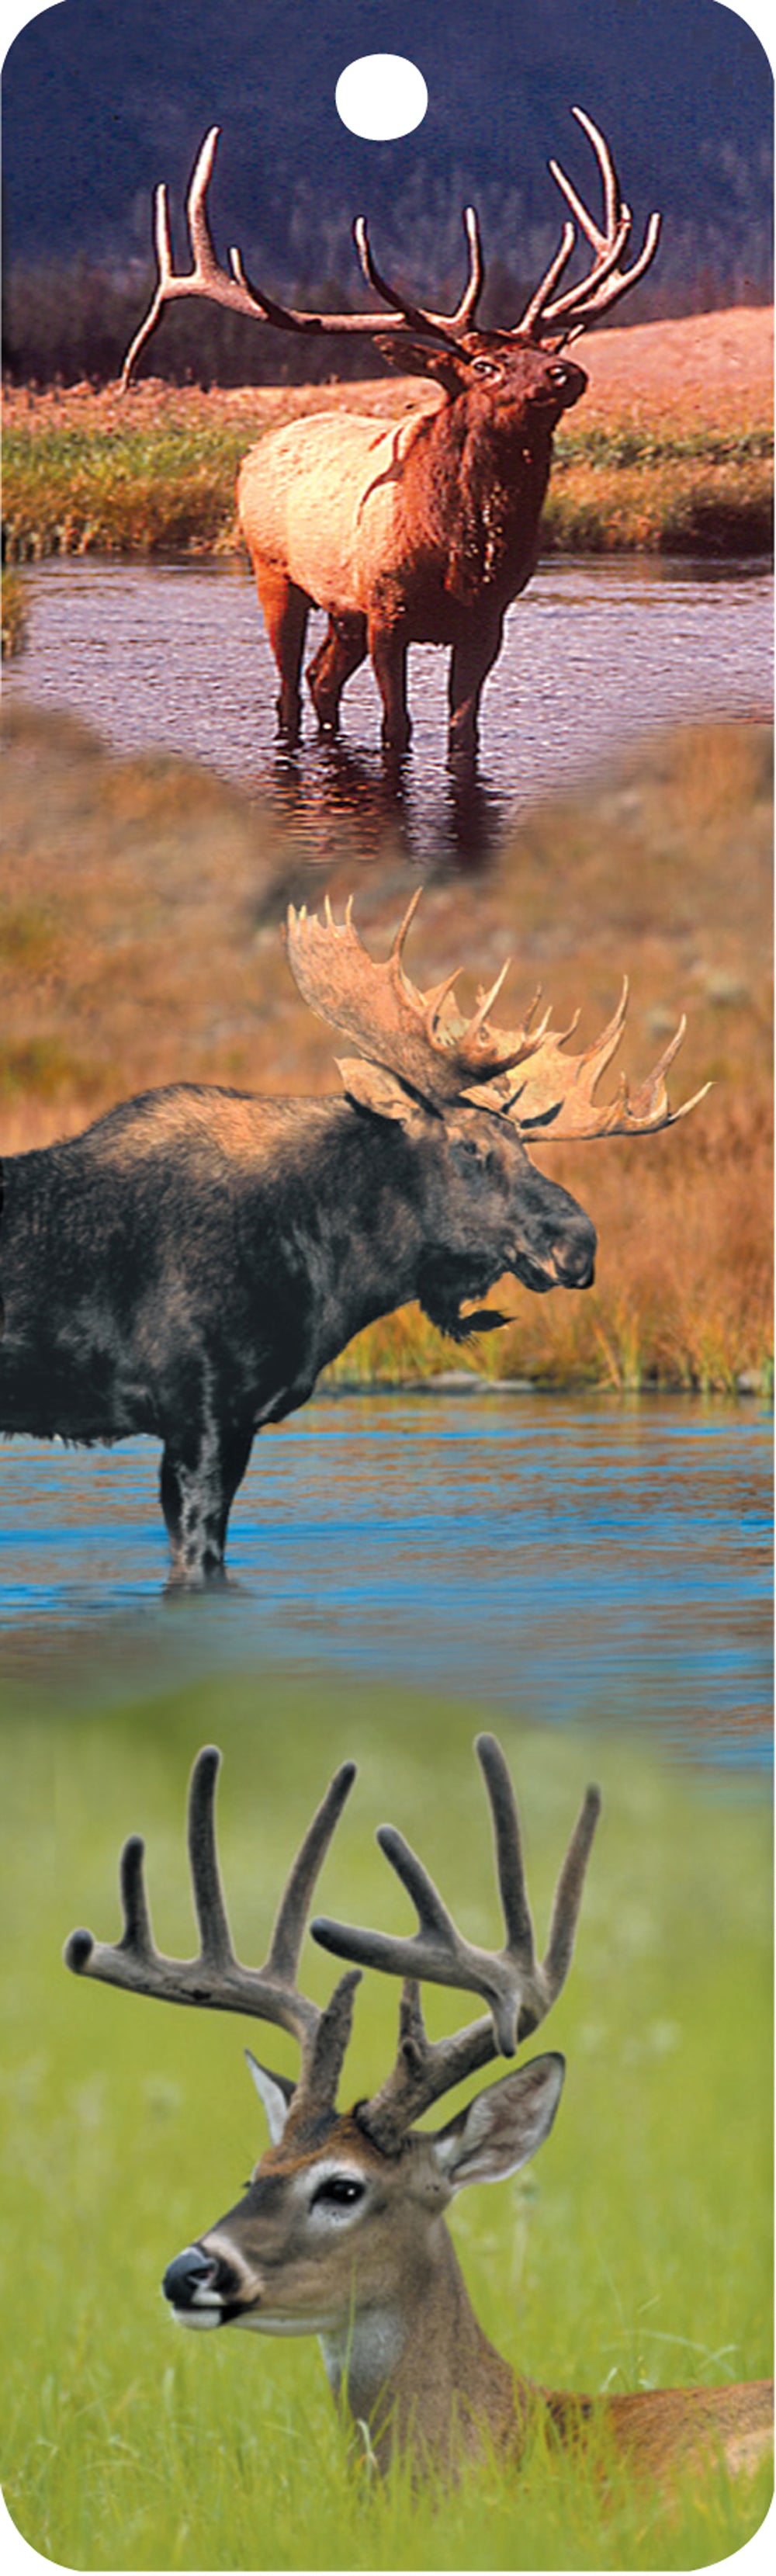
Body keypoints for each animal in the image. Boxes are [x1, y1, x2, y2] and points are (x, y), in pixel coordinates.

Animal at [0, 907, 706, 1586]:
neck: (328, 1276)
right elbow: (199, 1556)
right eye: (471, 1146)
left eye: (524, 1145)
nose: (579, 1243)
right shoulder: (200, 1413)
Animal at [121, 108, 657, 762]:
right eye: (486, 366)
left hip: (341, 609)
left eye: (542, 348)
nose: (567, 371)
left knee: (320, 679)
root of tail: (257, 449)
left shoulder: (488, 619)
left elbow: (464, 733)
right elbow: (395, 729)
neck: (459, 556)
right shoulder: (385, 609)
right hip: (273, 569)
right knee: (288, 688)